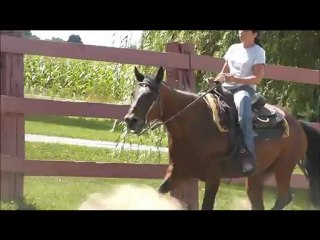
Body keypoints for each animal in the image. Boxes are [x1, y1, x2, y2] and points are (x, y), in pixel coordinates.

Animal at [123, 65, 320, 210]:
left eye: (151, 95)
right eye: (134, 93)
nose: (130, 120)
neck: (194, 123)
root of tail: (297, 125)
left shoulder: (213, 178)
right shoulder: (177, 173)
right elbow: (158, 193)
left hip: (283, 168)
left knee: (284, 198)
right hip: (257, 175)